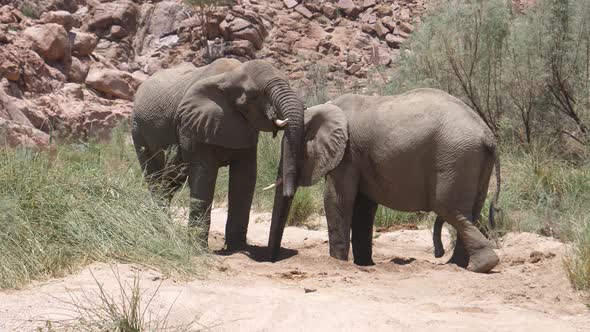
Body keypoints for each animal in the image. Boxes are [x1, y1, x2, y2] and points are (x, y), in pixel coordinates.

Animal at [132, 57, 308, 249]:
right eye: (255, 95)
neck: (229, 76)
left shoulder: (245, 129)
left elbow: (244, 177)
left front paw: (237, 249)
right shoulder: (193, 125)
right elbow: (204, 176)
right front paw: (198, 247)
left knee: (170, 181)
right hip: (138, 130)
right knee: (155, 178)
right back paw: (161, 229)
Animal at [268, 87, 504, 272]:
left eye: (291, 147)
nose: (272, 260)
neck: (325, 107)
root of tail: (487, 135)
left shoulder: (347, 156)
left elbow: (337, 199)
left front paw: (338, 262)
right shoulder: (358, 158)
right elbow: (363, 207)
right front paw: (364, 265)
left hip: (456, 157)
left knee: (450, 209)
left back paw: (477, 266)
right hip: (472, 159)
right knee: (470, 213)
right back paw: (458, 266)